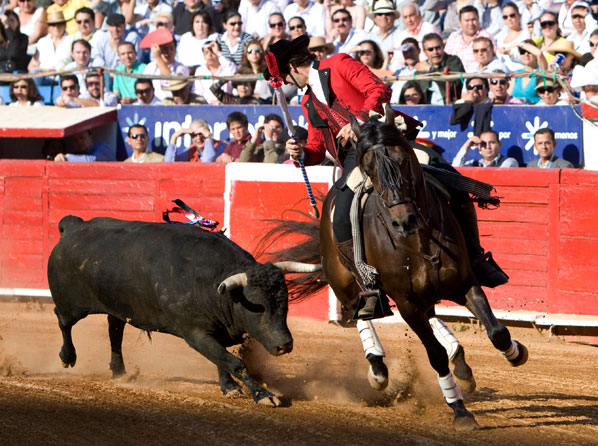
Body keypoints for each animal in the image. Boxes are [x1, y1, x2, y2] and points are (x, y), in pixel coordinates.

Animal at [47, 216, 322, 408]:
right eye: (258, 307)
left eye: (285, 303)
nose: (284, 345)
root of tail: (73, 226)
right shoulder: (196, 333)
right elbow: (235, 362)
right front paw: (263, 394)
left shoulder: (213, 333)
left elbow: (221, 358)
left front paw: (229, 388)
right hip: (71, 304)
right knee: (63, 321)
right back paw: (67, 357)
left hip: (117, 306)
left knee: (115, 331)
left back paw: (119, 372)